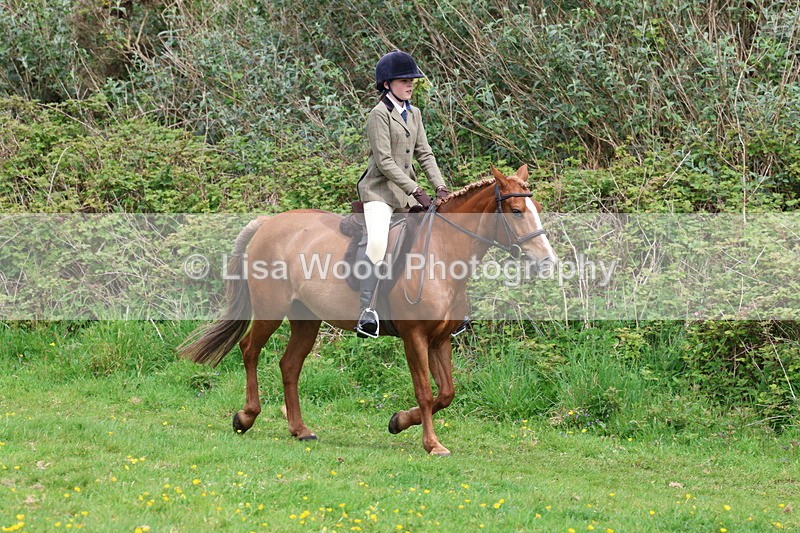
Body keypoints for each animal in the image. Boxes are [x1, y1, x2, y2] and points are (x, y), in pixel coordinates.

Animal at [178, 164, 556, 456]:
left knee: (289, 365)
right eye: (516, 211)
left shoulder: (441, 339)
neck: (442, 254)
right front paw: (432, 444)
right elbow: (425, 391)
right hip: (272, 309)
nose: (547, 262)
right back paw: (246, 417)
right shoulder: (414, 337)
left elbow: (446, 393)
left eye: (535, 207)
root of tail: (268, 223)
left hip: (306, 319)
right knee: (249, 350)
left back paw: (300, 429)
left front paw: (399, 421)